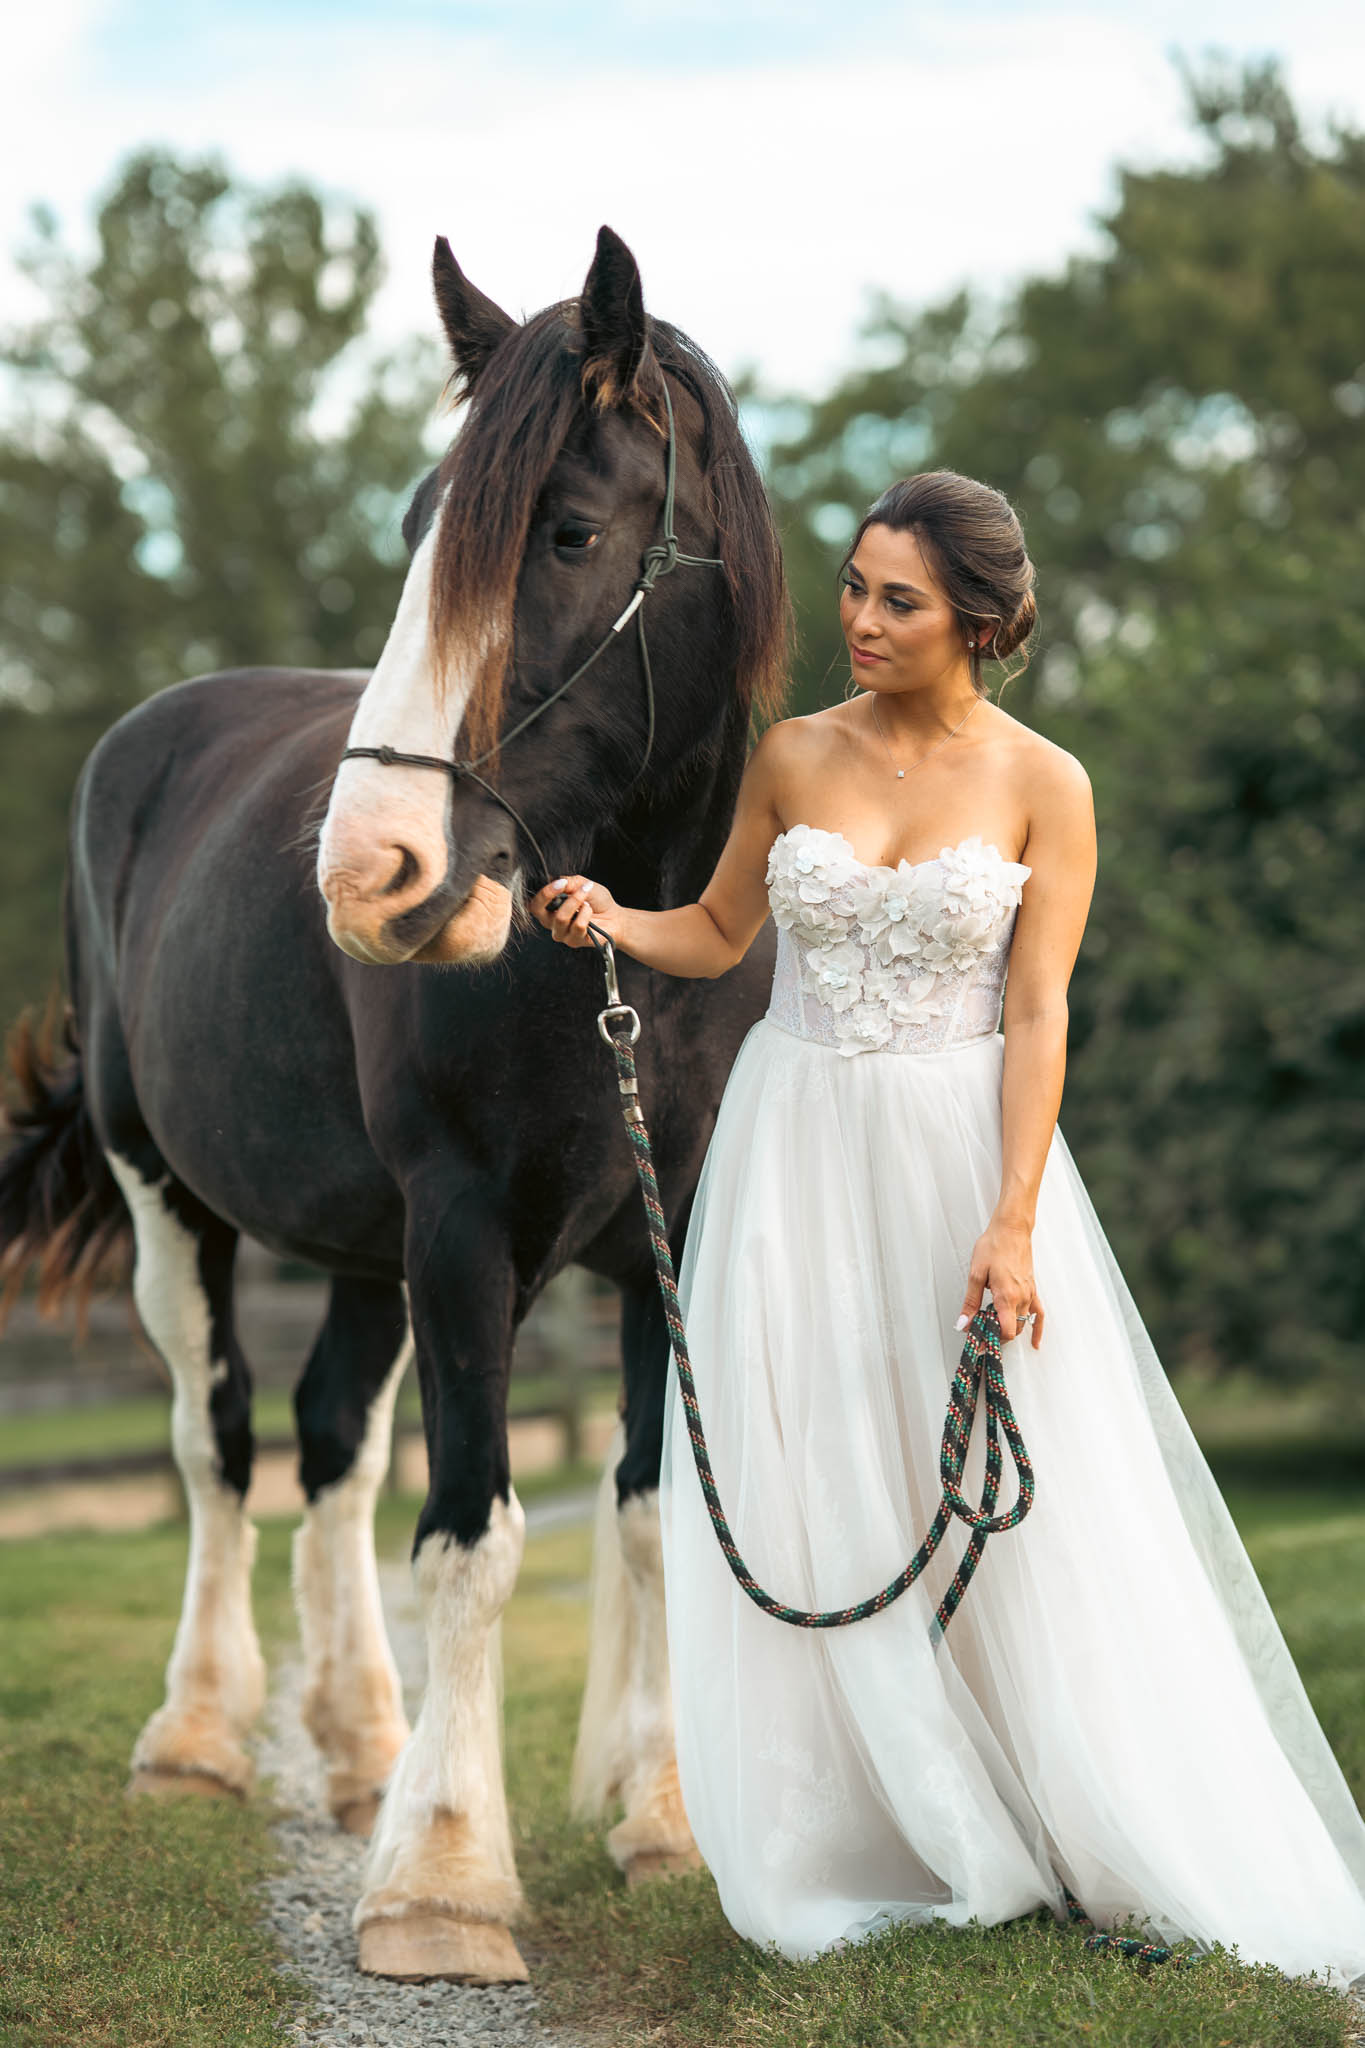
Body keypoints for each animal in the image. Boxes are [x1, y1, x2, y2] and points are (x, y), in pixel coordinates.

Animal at [0, 225, 787, 1985]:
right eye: (420, 531)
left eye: (571, 532)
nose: (369, 872)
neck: (626, 967)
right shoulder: (465, 1233)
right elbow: (474, 1533)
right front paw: (441, 1881)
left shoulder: (668, 1235)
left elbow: (644, 1520)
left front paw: (660, 1824)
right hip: (176, 1203)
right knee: (219, 1442)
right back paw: (200, 1741)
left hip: (361, 1250)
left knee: (331, 1447)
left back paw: (360, 1742)